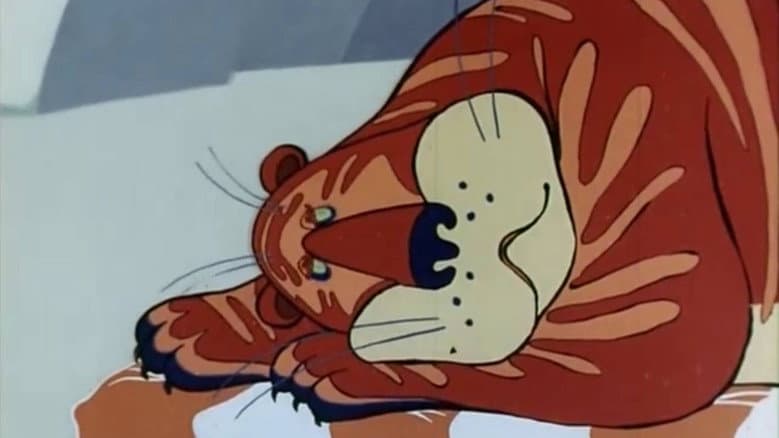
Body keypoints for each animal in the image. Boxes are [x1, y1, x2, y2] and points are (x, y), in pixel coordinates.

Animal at [133, 0, 778, 429]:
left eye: (326, 211)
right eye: (318, 272)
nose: (431, 249)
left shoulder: (662, 327)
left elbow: (503, 366)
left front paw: (333, 365)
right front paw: (199, 321)